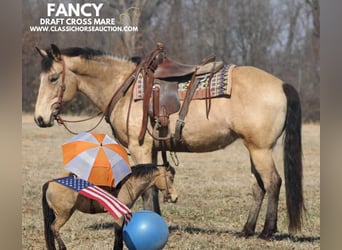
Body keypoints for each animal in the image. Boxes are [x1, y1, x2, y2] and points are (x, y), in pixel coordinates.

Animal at [33, 44, 304, 239]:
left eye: (54, 78)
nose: (40, 118)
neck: (125, 88)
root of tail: (281, 84)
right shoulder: (152, 150)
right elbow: (153, 185)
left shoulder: (139, 148)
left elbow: (146, 190)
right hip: (253, 148)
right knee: (258, 185)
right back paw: (247, 230)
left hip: (260, 149)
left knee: (273, 182)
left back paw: (267, 231)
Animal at [41, 164, 178, 250]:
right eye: (171, 178)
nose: (175, 197)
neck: (127, 184)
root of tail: (51, 182)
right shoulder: (119, 216)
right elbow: (118, 238)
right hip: (64, 214)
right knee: (54, 228)